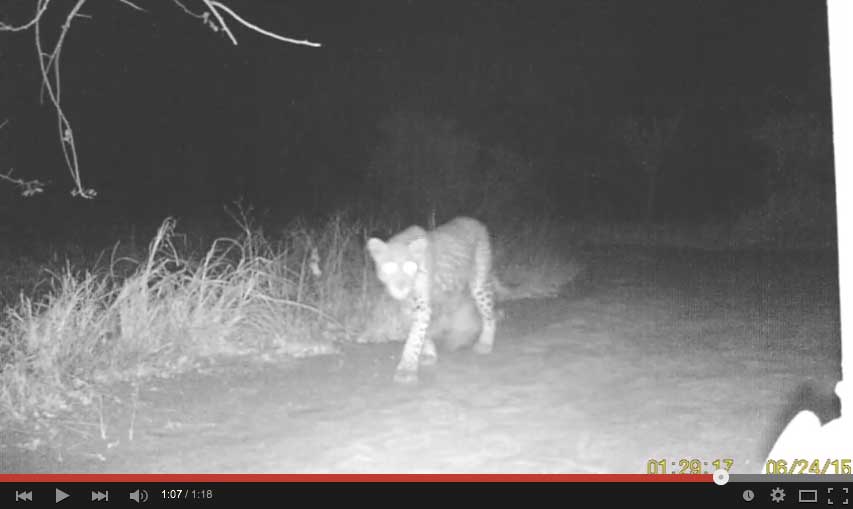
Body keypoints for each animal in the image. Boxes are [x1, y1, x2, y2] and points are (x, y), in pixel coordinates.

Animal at [366, 216, 496, 384]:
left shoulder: (422, 305)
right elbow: (421, 332)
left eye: (410, 266)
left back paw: (484, 343)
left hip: (479, 283)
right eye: (389, 267)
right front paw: (428, 354)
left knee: (489, 315)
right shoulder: (409, 307)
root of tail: (473, 220)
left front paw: (406, 369)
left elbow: (414, 337)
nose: (401, 287)